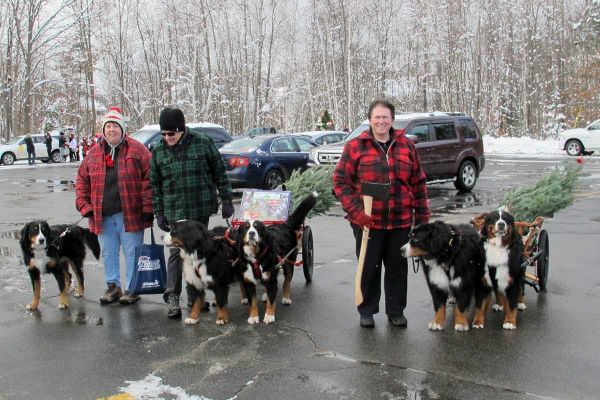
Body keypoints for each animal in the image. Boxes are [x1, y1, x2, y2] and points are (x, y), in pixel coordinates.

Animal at [237, 191, 318, 324]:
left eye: (257, 227)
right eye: (246, 227)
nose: (252, 233)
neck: (256, 256)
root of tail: (285, 224)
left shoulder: (271, 277)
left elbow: (272, 300)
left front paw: (269, 316)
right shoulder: (249, 282)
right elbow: (252, 302)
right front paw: (253, 317)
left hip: (289, 261)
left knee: (287, 280)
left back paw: (286, 297)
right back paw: (265, 295)